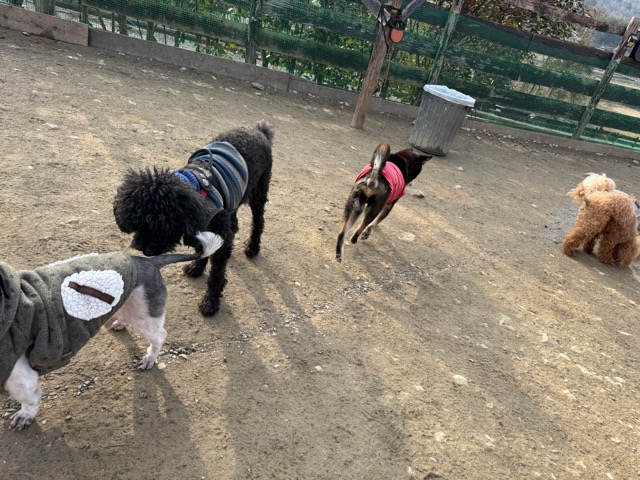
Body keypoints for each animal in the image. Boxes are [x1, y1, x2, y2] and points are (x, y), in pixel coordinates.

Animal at [1, 232, 223, 430]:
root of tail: (148, 262)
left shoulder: (21, 376)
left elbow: (29, 398)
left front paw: (25, 416)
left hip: (144, 317)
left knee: (160, 335)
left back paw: (150, 358)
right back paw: (117, 322)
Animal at [113, 120, 274, 316]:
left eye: (163, 227)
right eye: (137, 225)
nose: (146, 251)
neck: (197, 187)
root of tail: (258, 130)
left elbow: (216, 276)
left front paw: (210, 302)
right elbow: (204, 249)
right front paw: (197, 268)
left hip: (259, 191)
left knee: (258, 221)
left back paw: (252, 247)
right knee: (234, 219)